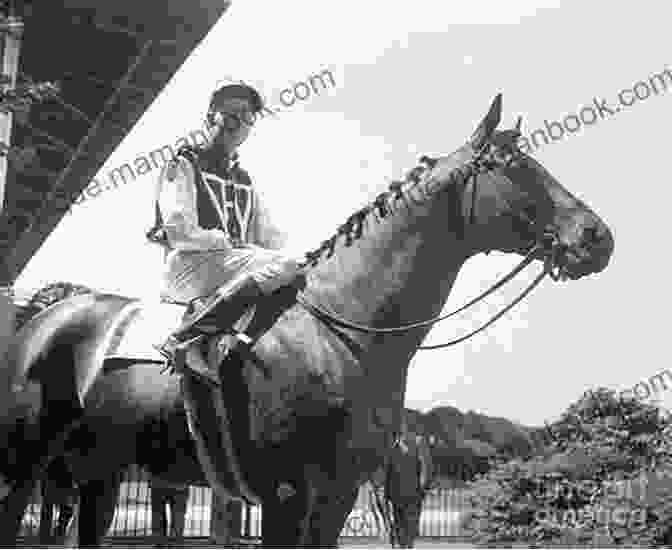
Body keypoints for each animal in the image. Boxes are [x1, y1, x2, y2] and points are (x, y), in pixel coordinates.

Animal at [0, 95, 616, 548]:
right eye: (517, 167)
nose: (597, 236)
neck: (343, 331)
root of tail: (39, 323)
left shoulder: (337, 495)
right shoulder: (287, 494)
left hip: (97, 475)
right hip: (26, 467)